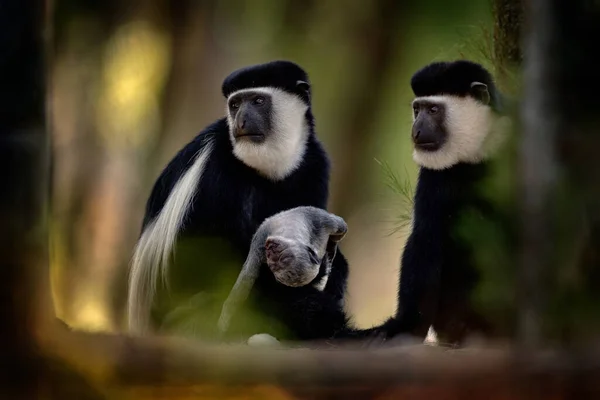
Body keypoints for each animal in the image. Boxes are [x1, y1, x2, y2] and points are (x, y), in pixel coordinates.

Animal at [392, 59, 512, 344]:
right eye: (417, 109)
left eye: (434, 110)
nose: (416, 131)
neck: (477, 149)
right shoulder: (435, 173)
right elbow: (426, 235)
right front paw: (406, 327)